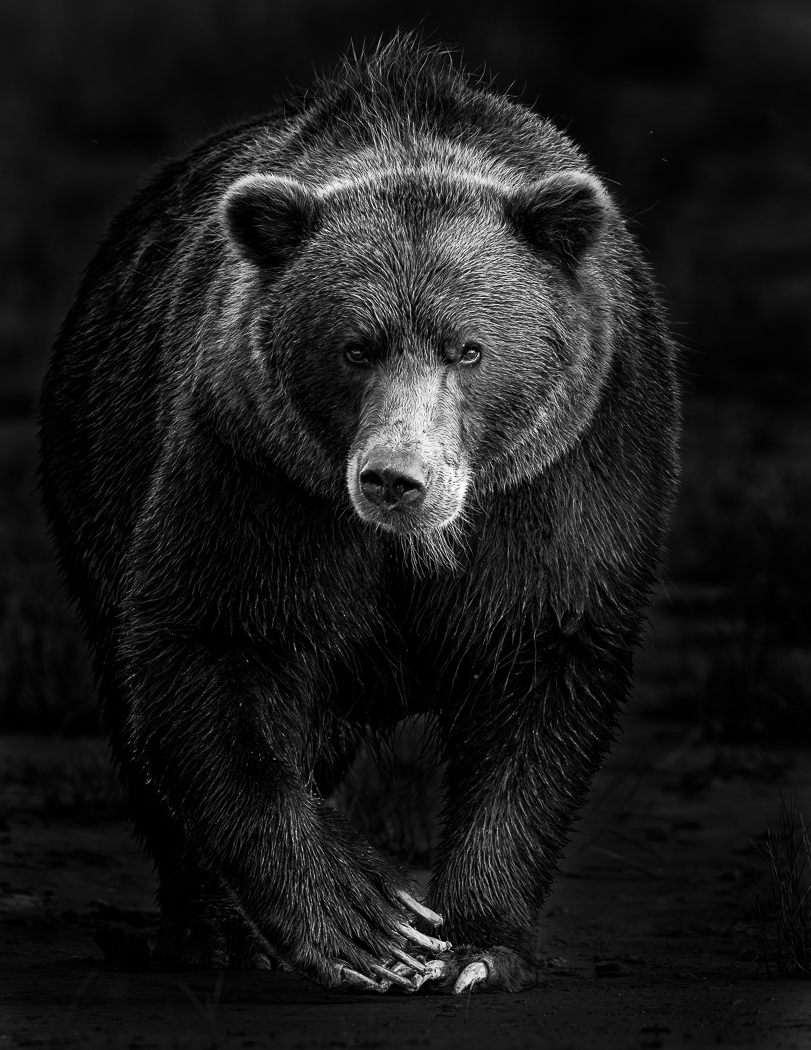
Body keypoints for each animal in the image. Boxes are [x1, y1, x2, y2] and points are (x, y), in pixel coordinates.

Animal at [38, 36, 679, 994]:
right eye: (354, 347)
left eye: (467, 347)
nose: (394, 479)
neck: (411, 549)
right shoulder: (254, 473)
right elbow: (212, 650)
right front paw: (364, 923)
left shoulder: (566, 482)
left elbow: (540, 673)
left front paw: (473, 946)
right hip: (98, 462)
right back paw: (215, 933)